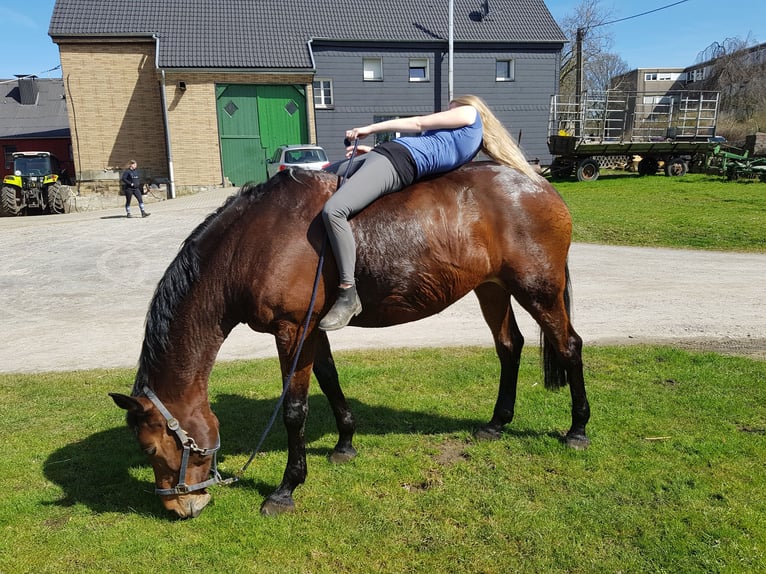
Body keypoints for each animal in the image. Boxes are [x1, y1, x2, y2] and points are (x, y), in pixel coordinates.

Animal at [108, 163, 592, 520]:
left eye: (150, 448)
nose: (180, 507)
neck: (252, 243)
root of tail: (537, 183)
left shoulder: (292, 331)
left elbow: (295, 411)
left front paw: (286, 487)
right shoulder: (314, 330)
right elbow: (330, 380)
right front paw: (345, 443)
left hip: (538, 291)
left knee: (569, 346)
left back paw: (578, 429)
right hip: (492, 288)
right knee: (509, 347)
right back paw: (497, 422)